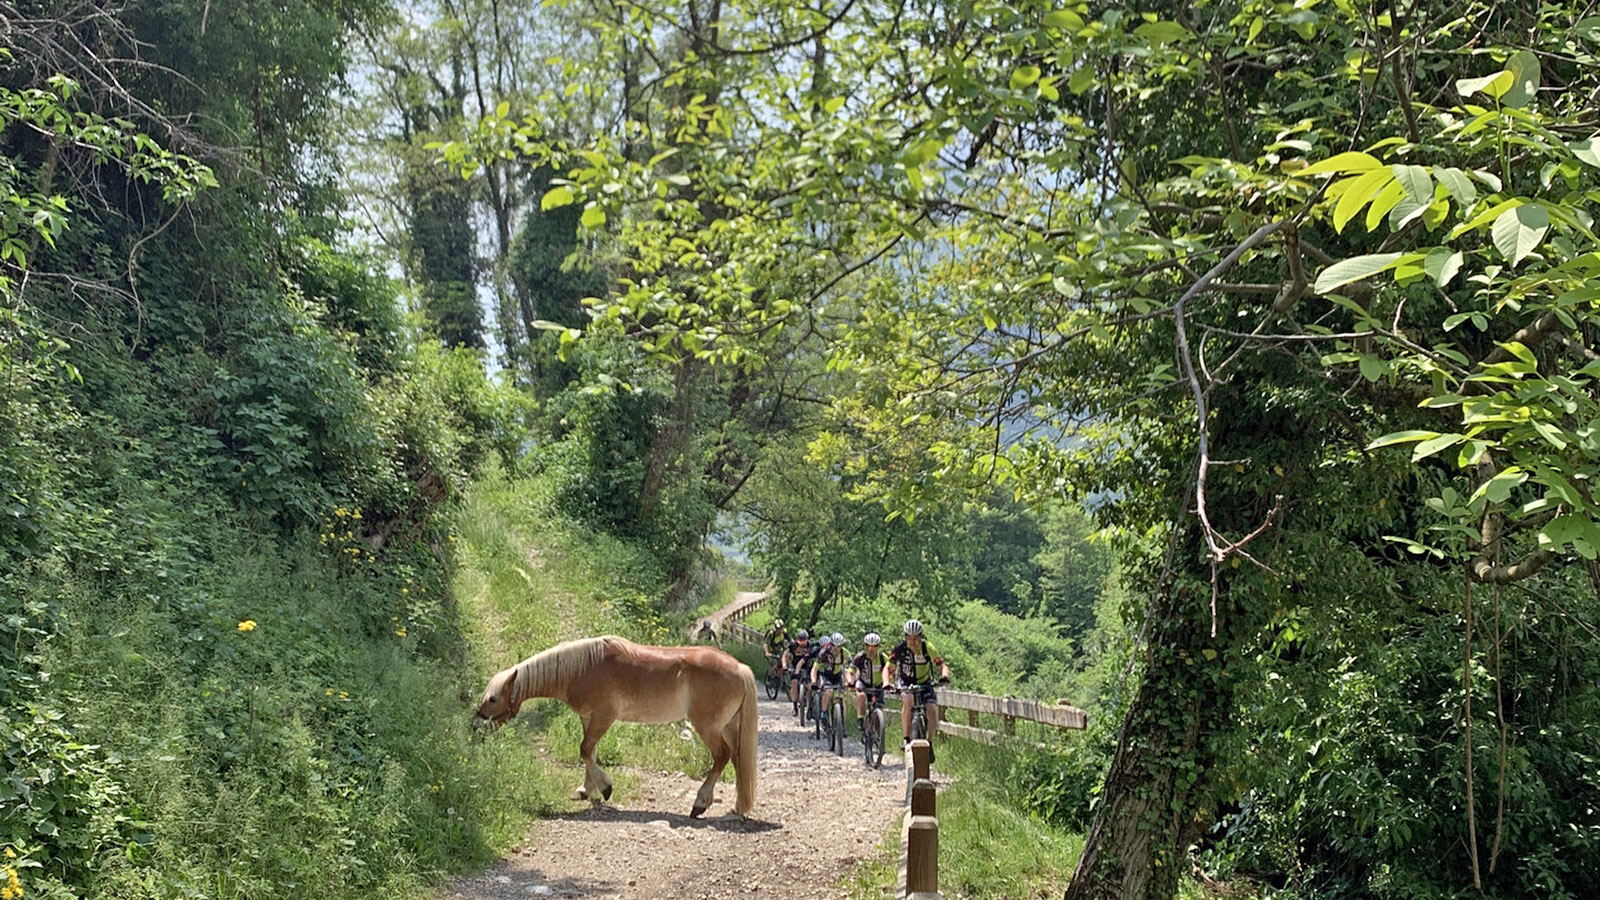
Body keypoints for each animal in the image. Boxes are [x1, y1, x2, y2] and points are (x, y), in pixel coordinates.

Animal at [470, 634, 758, 816]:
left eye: (493, 699)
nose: (475, 726)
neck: (585, 667)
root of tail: (739, 667)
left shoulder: (603, 717)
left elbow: (585, 750)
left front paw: (605, 787)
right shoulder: (589, 718)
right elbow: (590, 752)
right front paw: (586, 790)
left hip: (708, 728)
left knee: (721, 757)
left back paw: (700, 804)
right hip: (728, 727)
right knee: (737, 760)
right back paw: (737, 807)